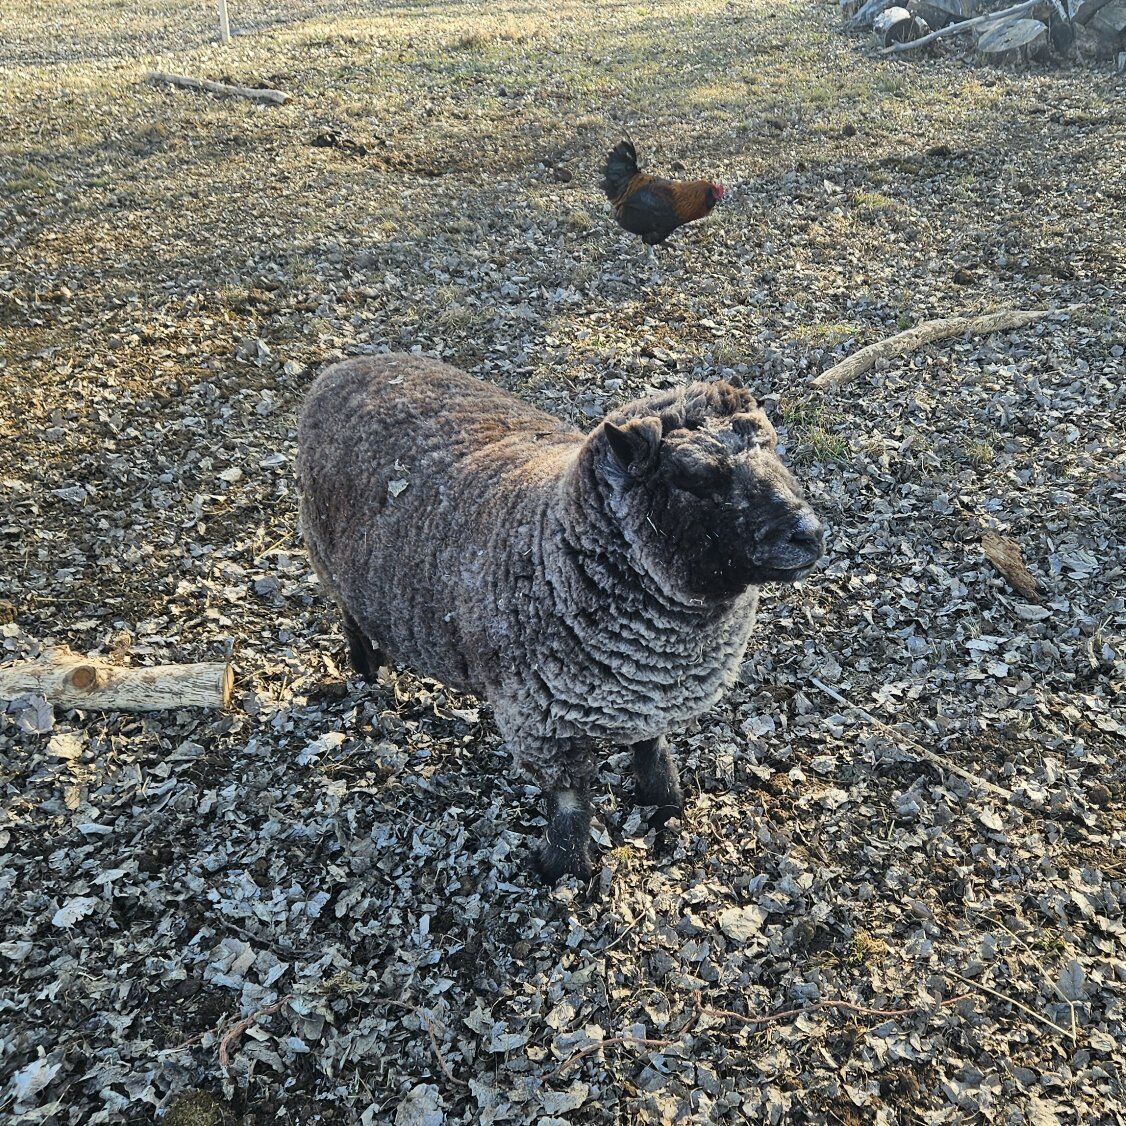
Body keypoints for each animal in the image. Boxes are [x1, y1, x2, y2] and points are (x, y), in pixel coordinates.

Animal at [297, 355, 824, 881]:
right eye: (692, 477)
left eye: (772, 445)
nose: (810, 534)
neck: (553, 540)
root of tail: (346, 367)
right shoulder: (543, 725)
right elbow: (570, 801)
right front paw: (563, 869)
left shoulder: (647, 698)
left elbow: (653, 754)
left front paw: (665, 806)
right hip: (326, 557)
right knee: (349, 616)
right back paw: (369, 668)